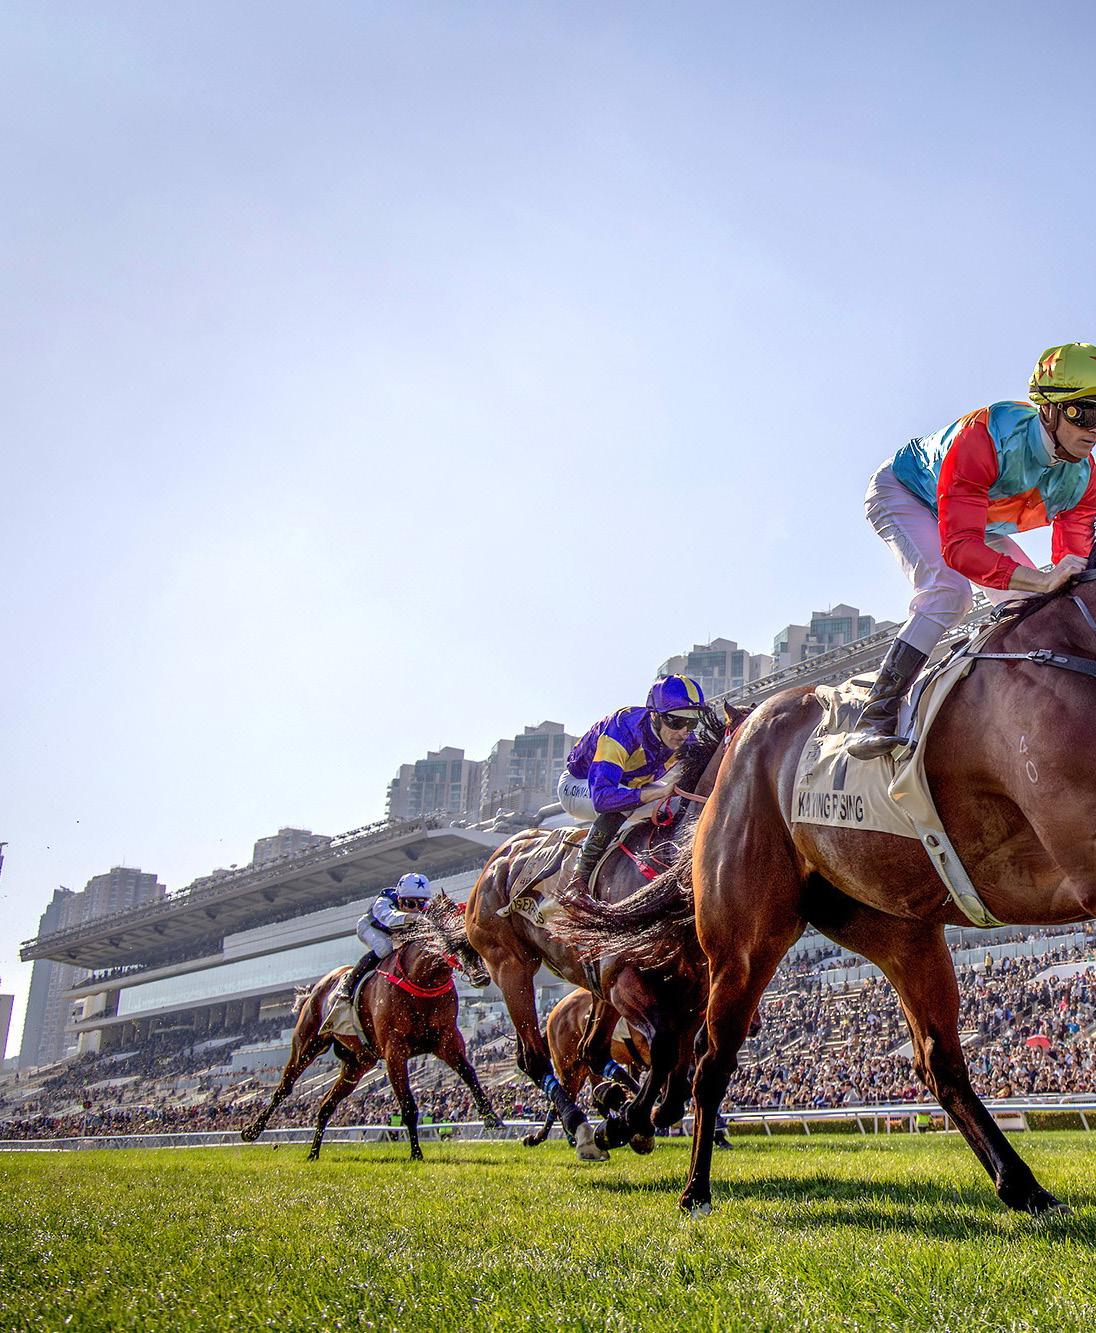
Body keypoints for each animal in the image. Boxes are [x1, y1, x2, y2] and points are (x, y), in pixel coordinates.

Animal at [240, 894, 503, 1160]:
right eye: (454, 941)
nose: (482, 977)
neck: (420, 980)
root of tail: (316, 989)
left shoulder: (447, 1040)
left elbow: (469, 1072)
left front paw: (492, 1118)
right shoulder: (395, 1051)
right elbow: (408, 1105)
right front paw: (416, 1153)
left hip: (357, 1063)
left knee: (326, 1104)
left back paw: (313, 1153)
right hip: (307, 1043)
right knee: (285, 1087)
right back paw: (252, 1131)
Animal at [610, 559, 1096, 1215]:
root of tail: (745, 731)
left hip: (900, 931)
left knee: (938, 1063)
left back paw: (1022, 1185)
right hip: (745, 939)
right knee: (711, 1060)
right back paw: (693, 1187)